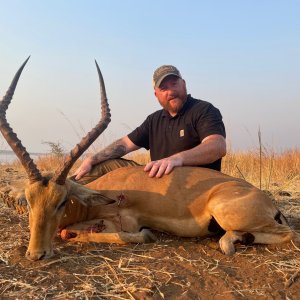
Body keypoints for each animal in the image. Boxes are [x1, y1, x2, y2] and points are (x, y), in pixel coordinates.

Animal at [0, 58, 300, 260]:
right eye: (28, 201)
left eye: (62, 201)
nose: (36, 254)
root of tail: (267, 201)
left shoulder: (124, 222)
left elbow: (123, 235)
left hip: (225, 212)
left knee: (287, 235)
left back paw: (231, 242)